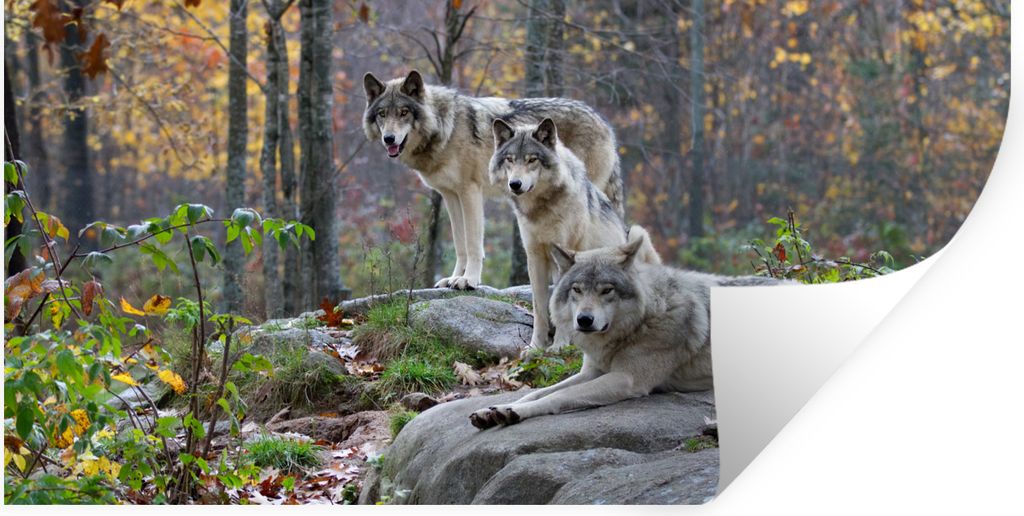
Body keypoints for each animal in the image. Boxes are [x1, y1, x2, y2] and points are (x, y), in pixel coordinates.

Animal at [363, 70, 623, 289]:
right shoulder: (450, 195)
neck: (446, 127)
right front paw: (453, 278)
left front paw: (469, 280)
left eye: (404, 113)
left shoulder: (470, 192)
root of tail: (604, 122)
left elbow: (473, 243)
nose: (389, 138)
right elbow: (459, 243)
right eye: (382, 114)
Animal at [470, 227, 790, 429]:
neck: (641, 322)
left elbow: (556, 397)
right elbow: (536, 393)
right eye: (577, 290)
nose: (584, 320)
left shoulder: (625, 379)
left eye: (606, 290)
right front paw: (495, 410)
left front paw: (513, 412)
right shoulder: (592, 371)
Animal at [489, 118, 660, 351]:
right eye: (510, 159)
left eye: (532, 159)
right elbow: (540, 308)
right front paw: (536, 347)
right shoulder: (534, 257)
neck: (542, 209)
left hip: (636, 232)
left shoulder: (565, 255)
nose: (515, 184)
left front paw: (559, 345)